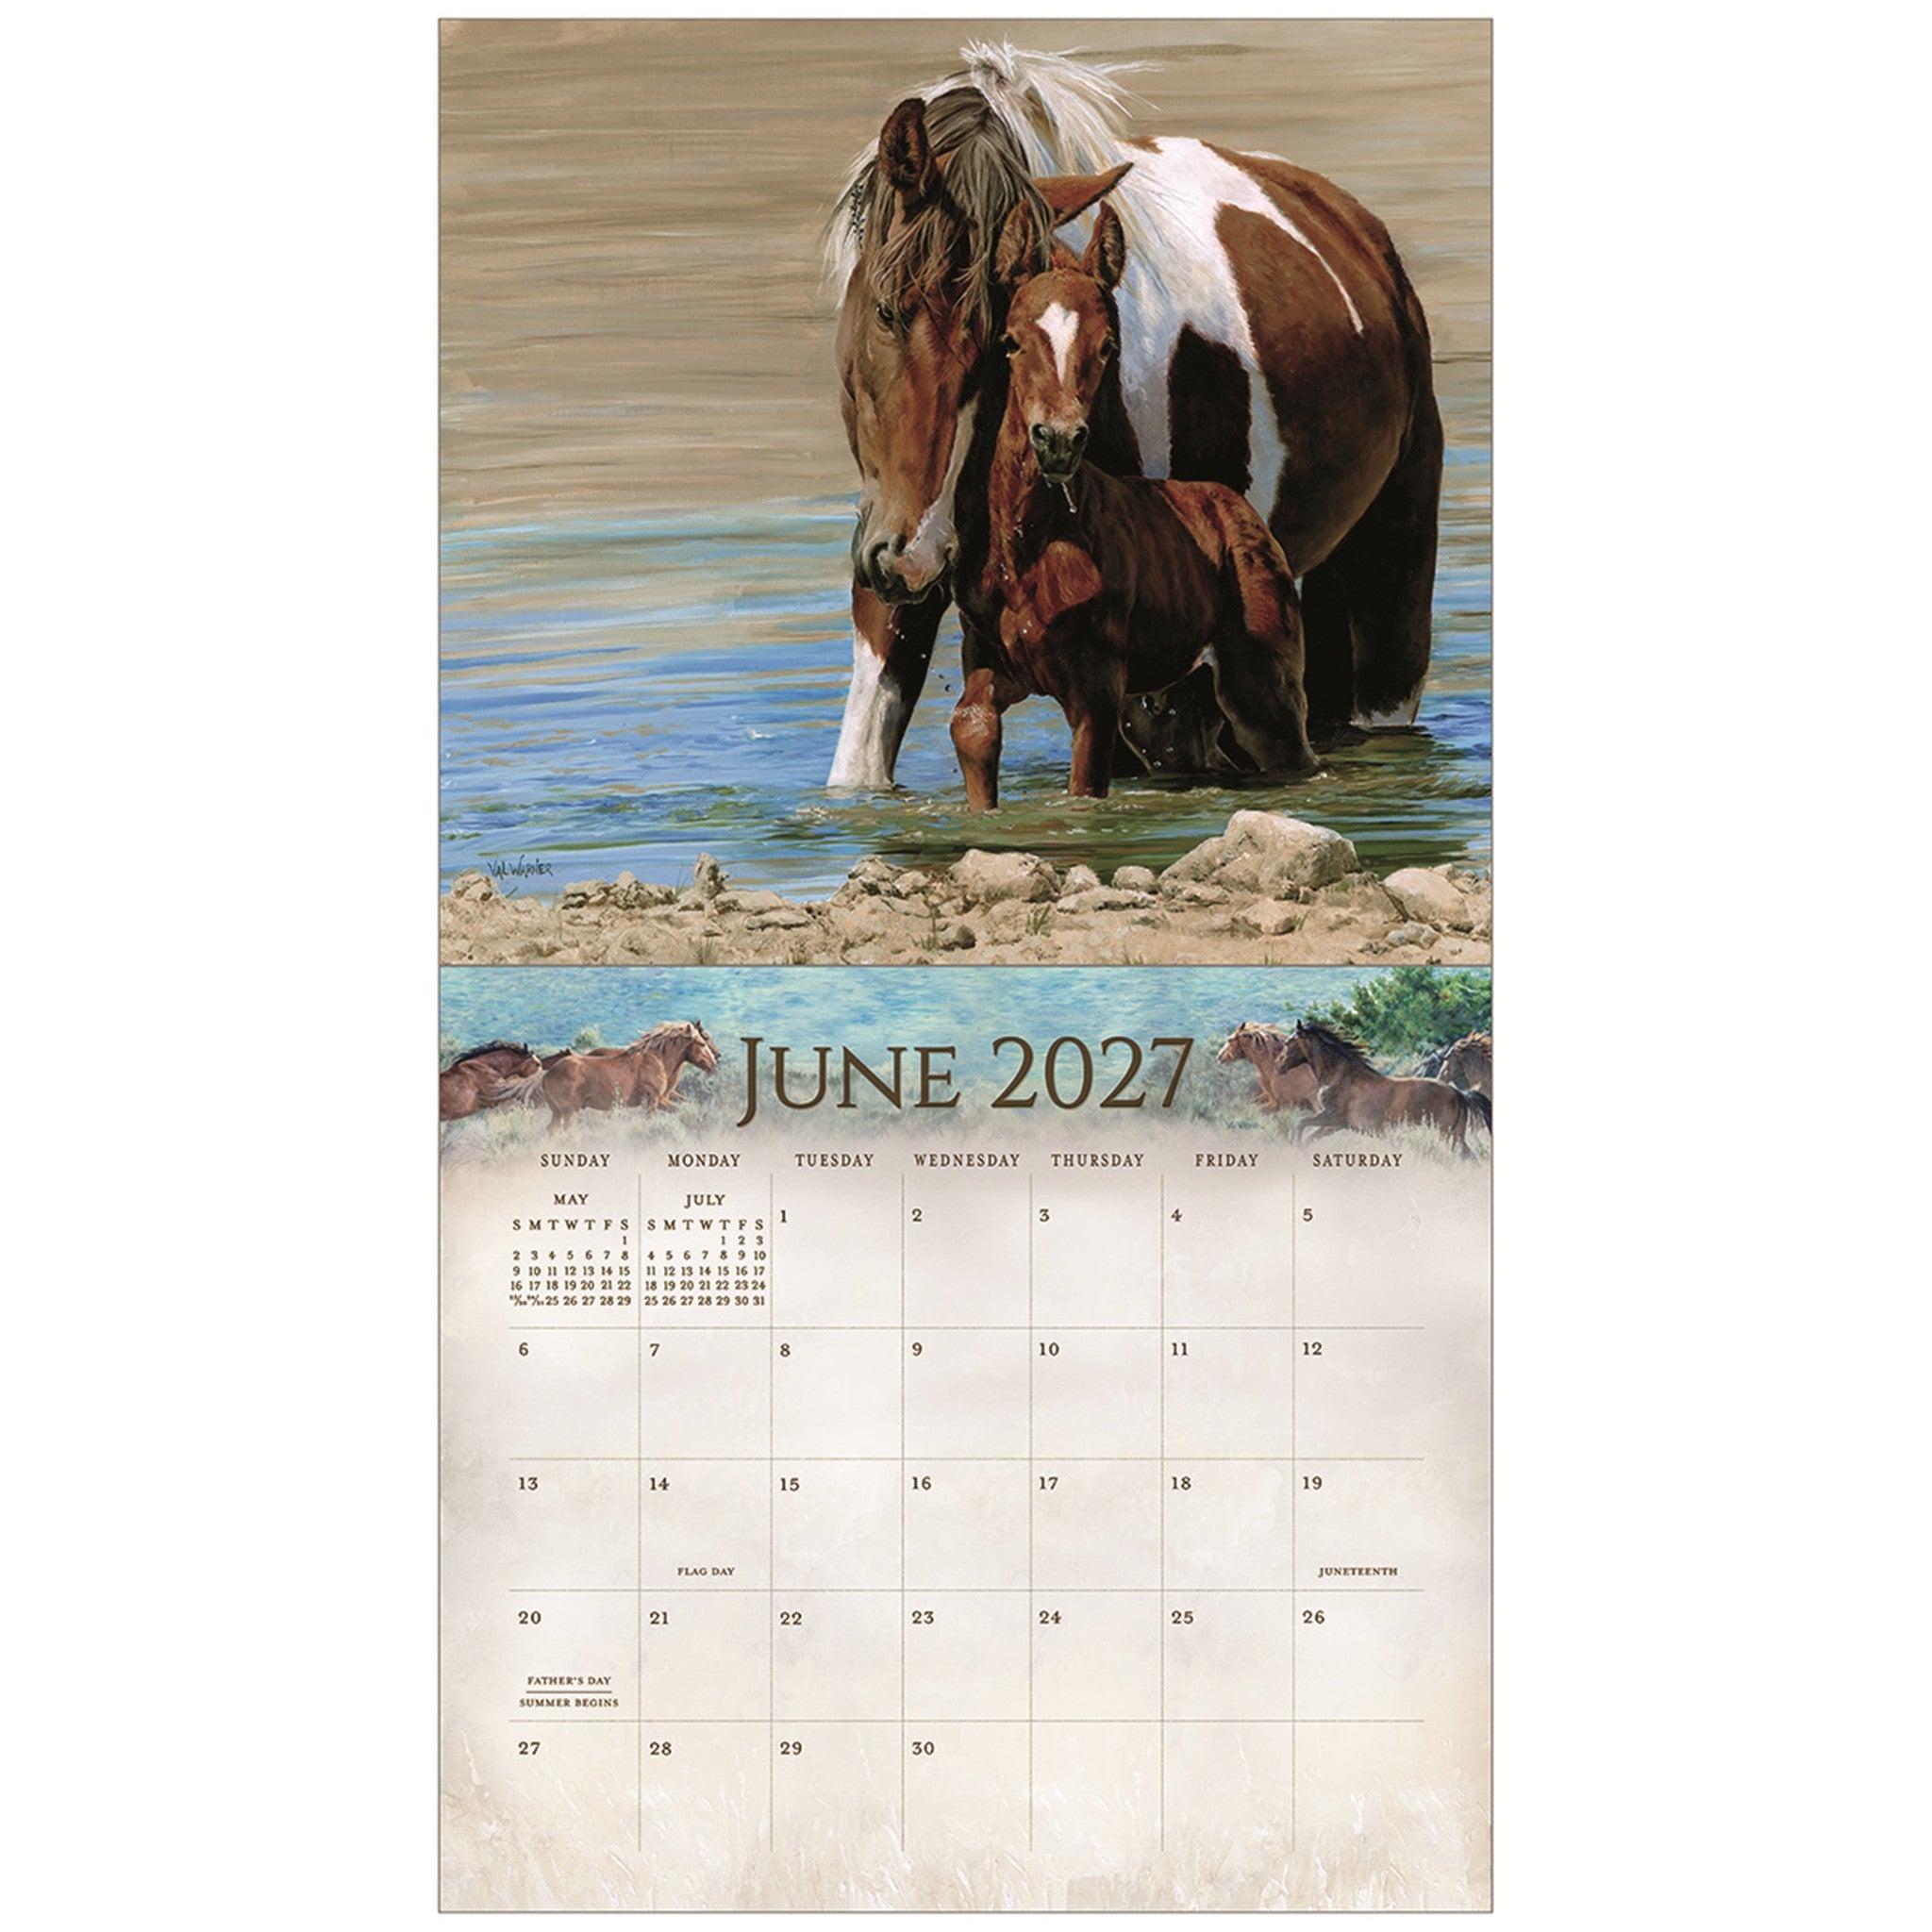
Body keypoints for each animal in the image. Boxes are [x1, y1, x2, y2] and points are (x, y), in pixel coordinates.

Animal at [506, 1021, 721, 1134]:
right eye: (702, 1042)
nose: (714, 1063)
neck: (655, 1058)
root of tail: (547, 1073)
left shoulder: (661, 1100)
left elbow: (680, 1110)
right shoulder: (652, 1102)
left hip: (557, 1112)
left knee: (551, 1130)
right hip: (569, 1112)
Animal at [950, 201, 1314, 805]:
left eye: (1107, 346)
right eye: (1011, 341)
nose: (1057, 440)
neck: (1029, 547)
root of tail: (1235, 507)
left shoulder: (1096, 689)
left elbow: (1083, 789)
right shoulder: (992, 662)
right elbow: (971, 731)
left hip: (1261, 681)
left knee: (1291, 751)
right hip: (1178, 694)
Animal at [1277, 1020, 1490, 1154]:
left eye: (1288, 1042)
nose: (1278, 1065)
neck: (1339, 1075)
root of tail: (1458, 1093)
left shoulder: (1330, 1116)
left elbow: (1301, 1124)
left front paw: (1297, 1149)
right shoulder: (1336, 1124)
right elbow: (1310, 1137)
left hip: (1444, 1134)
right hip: (1456, 1135)